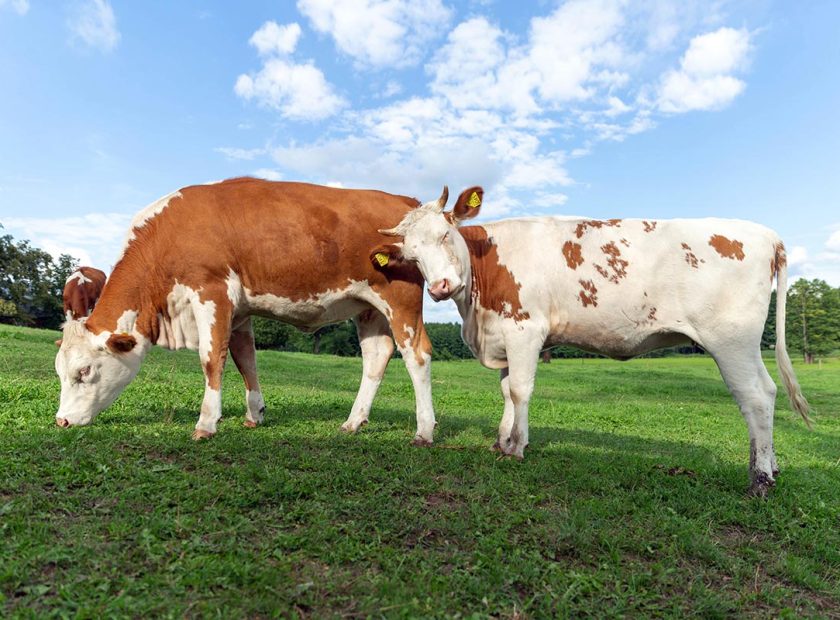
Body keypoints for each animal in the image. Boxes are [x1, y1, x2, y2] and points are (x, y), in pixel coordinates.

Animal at [55, 177, 444, 445]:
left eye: (84, 371)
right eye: (60, 371)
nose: (61, 421)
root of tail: (404, 201)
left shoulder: (212, 291)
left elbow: (211, 357)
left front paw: (206, 423)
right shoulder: (239, 310)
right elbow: (245, 359)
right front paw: (254, 414)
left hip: (400, 299)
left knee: (417, 355)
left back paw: (424, 429)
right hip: (368, 307)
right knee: (377, 355)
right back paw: (353, 421)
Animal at [374, 186, 811, 496]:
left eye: (446, 234)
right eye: (412, 255)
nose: (441, 287)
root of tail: (765, 234)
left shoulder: (525, 329)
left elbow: (519, 390)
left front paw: (516, 447)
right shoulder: (505, 335)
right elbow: (505, 390)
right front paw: (502, 440)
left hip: (731, 340)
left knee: (755, 396)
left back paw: (759, 480)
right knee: (768, 391)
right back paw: (771, 468)